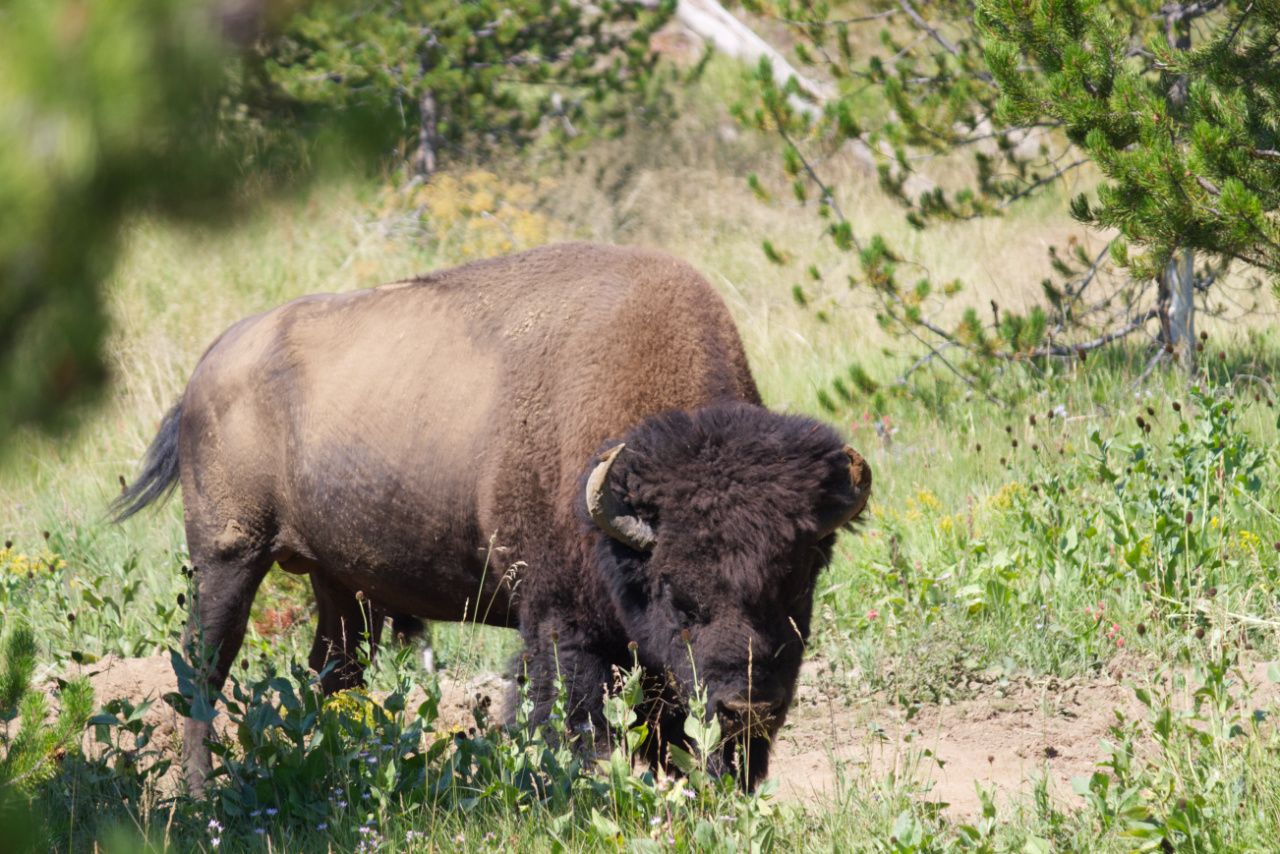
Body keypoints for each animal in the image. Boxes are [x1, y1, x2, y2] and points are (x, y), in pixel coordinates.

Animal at [114, 242, 871, 792]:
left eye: (797, 585)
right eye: (679, 597)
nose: (749, 708)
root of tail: (208, 368)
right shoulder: (561, 624)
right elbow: (577, 724)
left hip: (342, 586)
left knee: (334, 675)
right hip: (229, 555)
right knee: (203, 671)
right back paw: (200, 794)